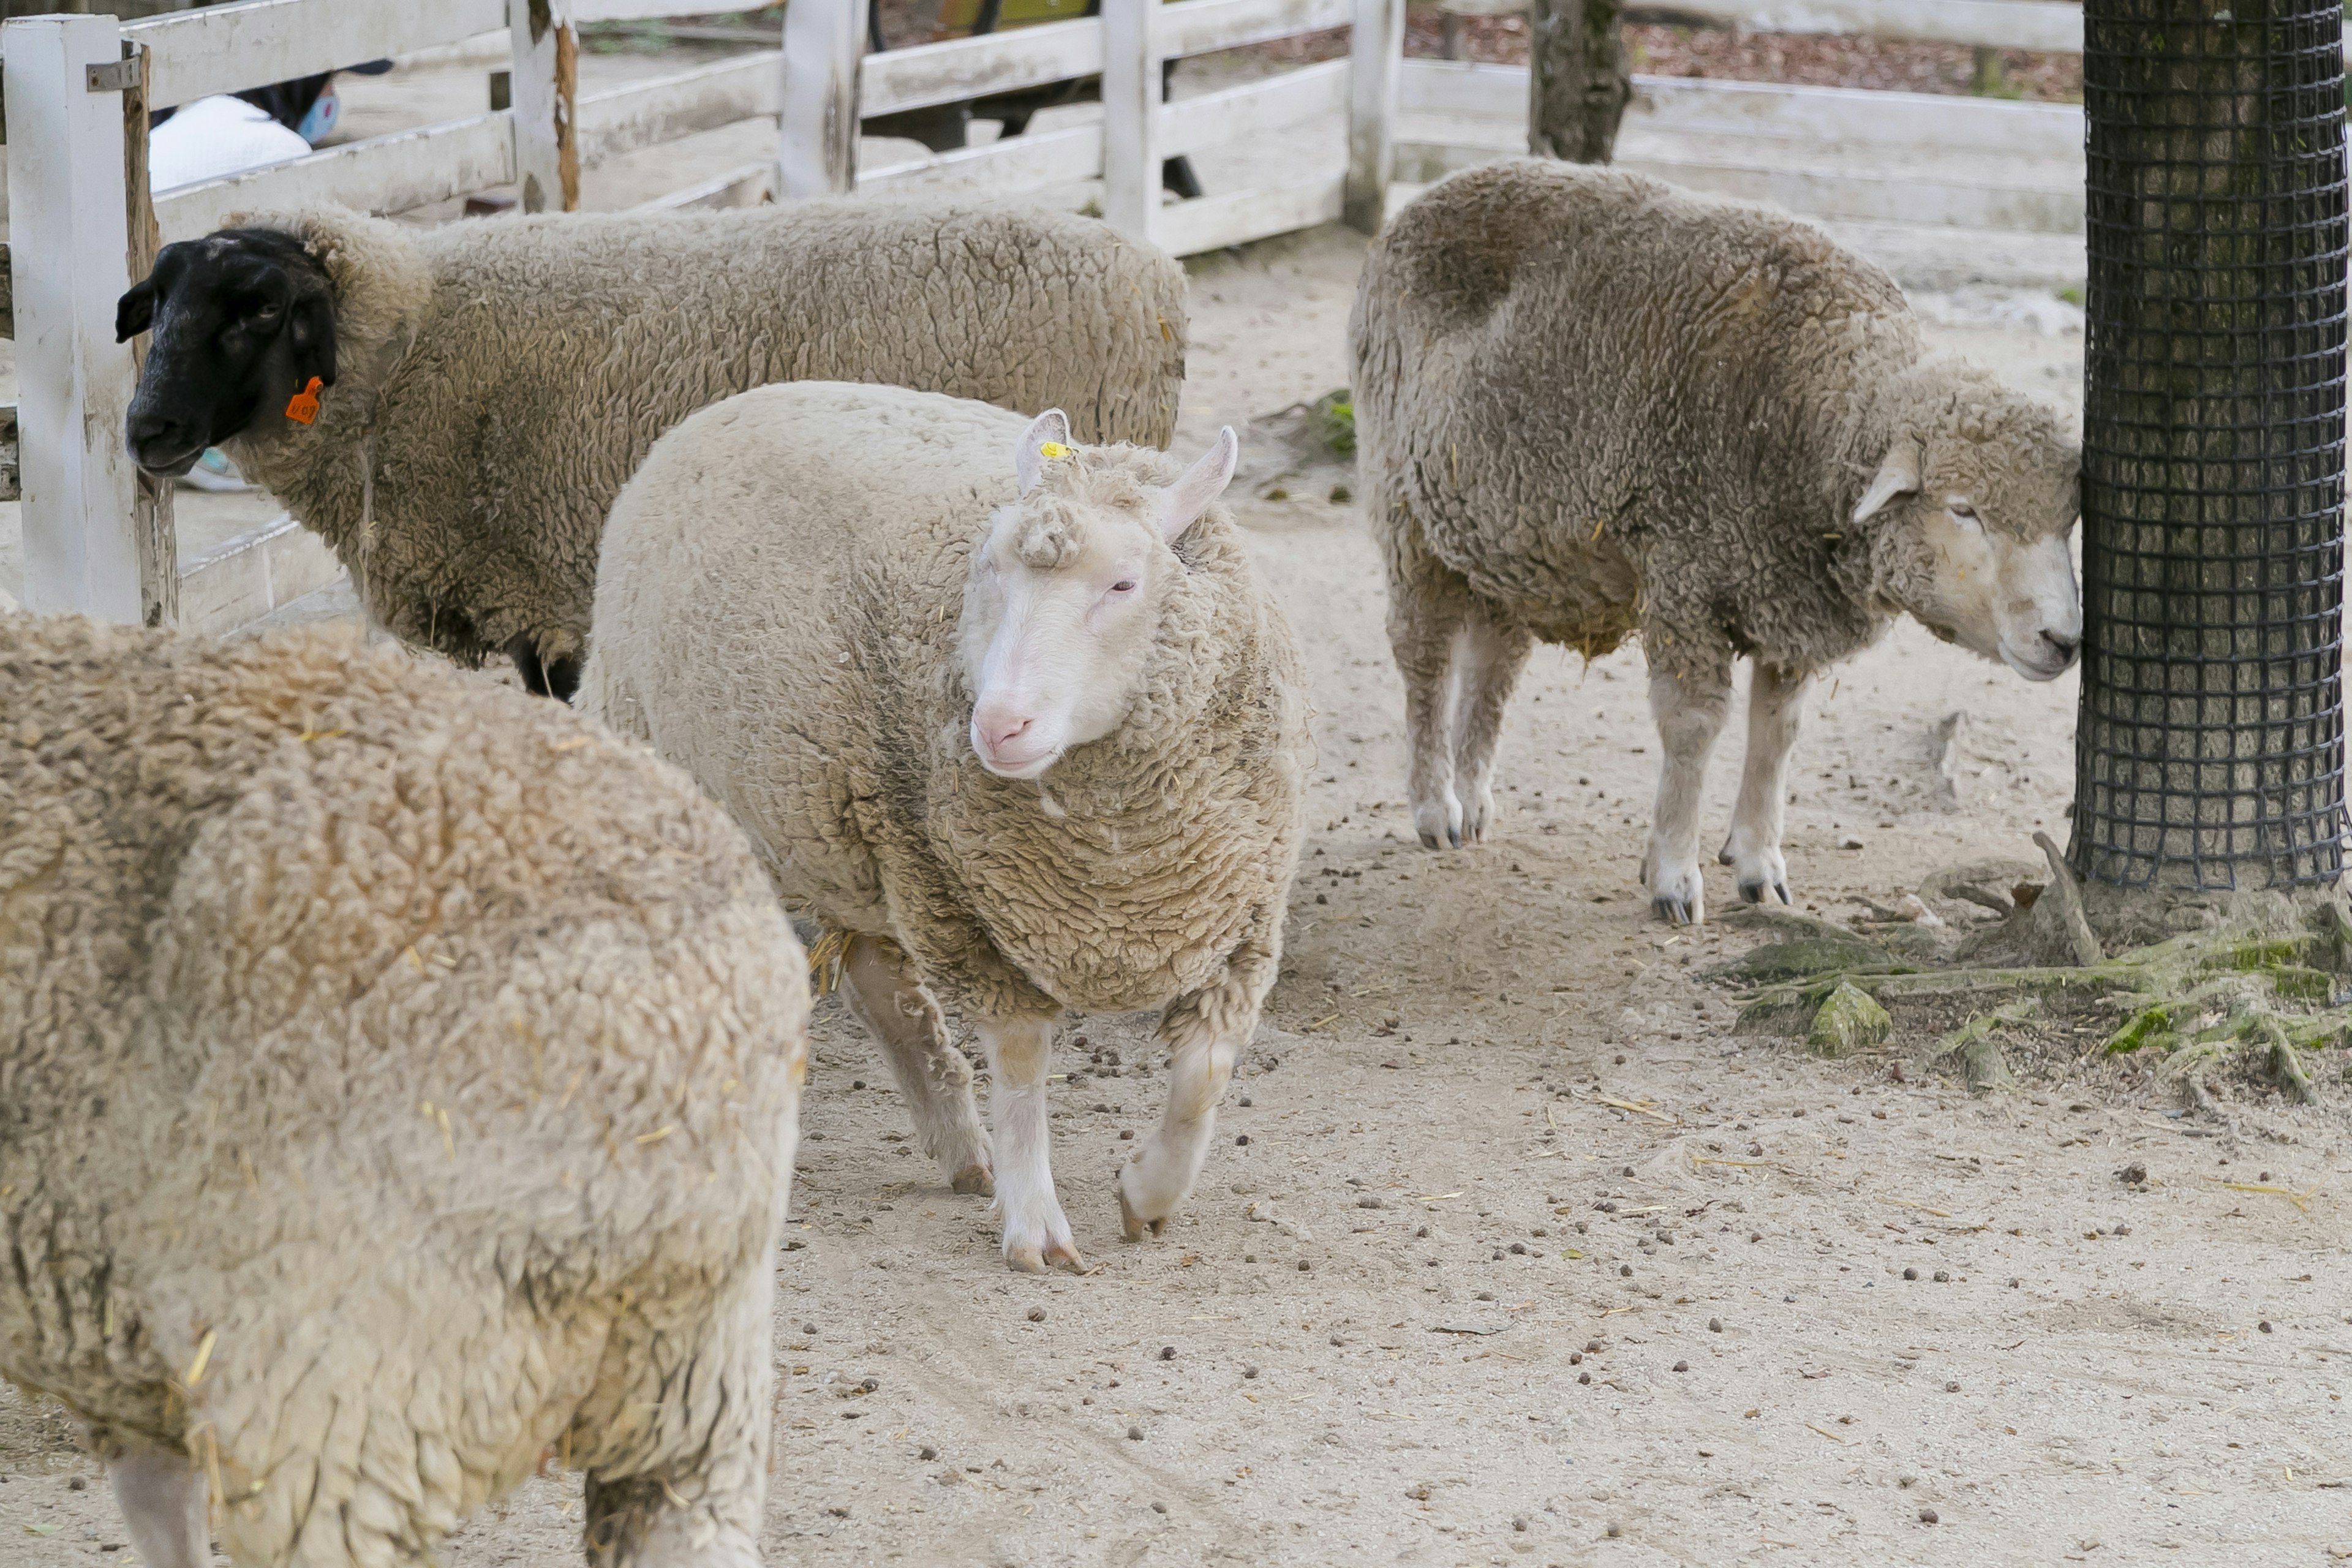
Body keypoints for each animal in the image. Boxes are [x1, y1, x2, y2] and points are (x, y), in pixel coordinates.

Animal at [112, 200, 1185, 700]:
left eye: (257, 310)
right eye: (155, 305)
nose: (146, 432)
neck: (412, 341)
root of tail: (1154, 277)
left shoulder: (549, 579)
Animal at [1354, 159, 2088, 926]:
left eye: (2069, 519)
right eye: (1964, 509)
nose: (2065, 640)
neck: (1805, 410)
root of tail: (1434, 192)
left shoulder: (1785, 594)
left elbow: (1777, 732)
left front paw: (1759, 863)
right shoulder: (1688, 571)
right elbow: (1694, 727)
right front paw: (1674, 874)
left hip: (1505, 534)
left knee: (1496, 662)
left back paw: (1473, 800)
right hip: (1403, 504)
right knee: (1425, 657)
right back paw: (1434, 806)